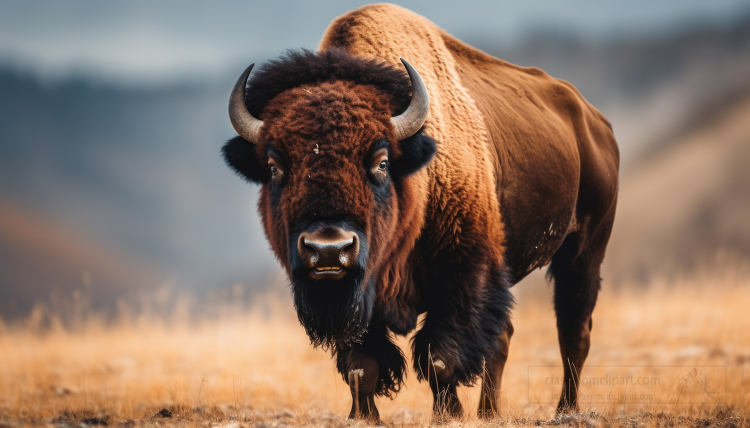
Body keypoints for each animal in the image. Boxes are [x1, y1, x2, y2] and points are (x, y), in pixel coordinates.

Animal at [220, 2, 620, 422]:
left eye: (381, 161)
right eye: (274, 166)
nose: (328, 249)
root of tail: (595, 122)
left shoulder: (462, 277)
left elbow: (439, 358)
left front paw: (448, 414)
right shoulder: (359, 303)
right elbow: (362, 365)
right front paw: (364, 417)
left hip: (583, 251)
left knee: (573, 330)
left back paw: (565, 409)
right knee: (505, 337)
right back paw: (489, 413)